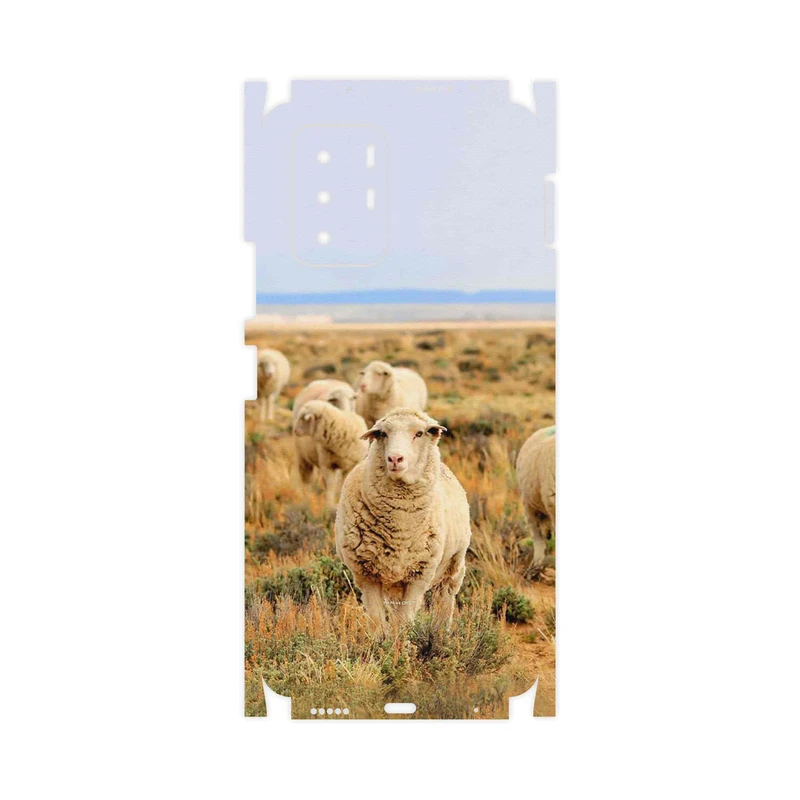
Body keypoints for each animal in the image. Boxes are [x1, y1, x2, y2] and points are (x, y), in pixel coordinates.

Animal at [335, 408, 471, 632]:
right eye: (383, 434)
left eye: (419, 433)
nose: (395, 458)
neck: (400, 527)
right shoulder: (366, 575)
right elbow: (377, 621)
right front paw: (382, 641)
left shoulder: (419, 575)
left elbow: (405, 621)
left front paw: (403, 641)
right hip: (393, 582)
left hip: (453, 566)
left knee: (445, 599)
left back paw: (441, 632)